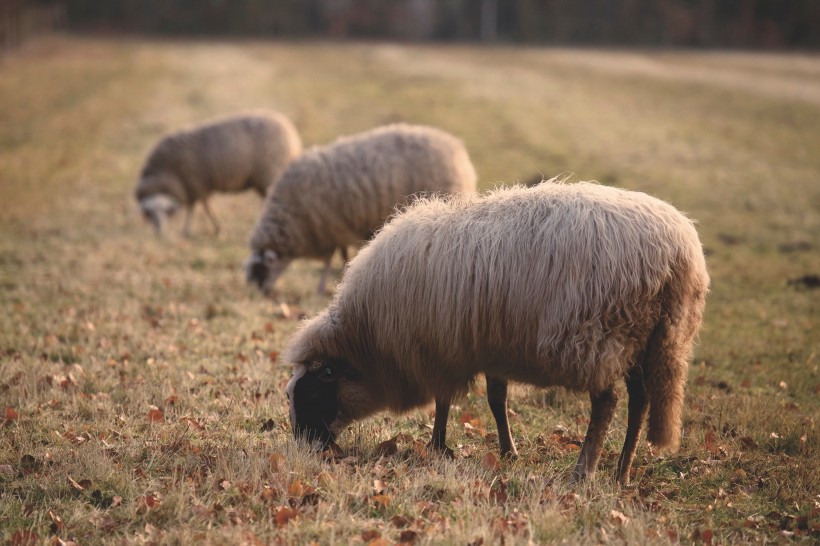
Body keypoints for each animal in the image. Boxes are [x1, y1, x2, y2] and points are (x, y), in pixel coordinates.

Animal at [135, 110, 302, 236]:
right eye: (149, 213)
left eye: (164, 212)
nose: (159, 233)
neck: (166, 171)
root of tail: (292, 134)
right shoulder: (197, 186)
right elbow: (202, 207)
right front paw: (211, 229)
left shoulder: (195, 184)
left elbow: (198, 208)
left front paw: (193, 230)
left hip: (271, 173)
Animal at [243, 122, 478, 294]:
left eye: (261, 269)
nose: (261, 293)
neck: (291, 216)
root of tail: (456, 147)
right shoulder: (335, 228)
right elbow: (340, 254)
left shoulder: (330, 227)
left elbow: (330, 259)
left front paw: (324, 286)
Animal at [286, 181, 708, 482]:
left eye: (315, 387)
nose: (304, 446)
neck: (370, 340)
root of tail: (678, 256)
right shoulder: (486, 347)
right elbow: (495, 400)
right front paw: (507, 452)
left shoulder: (441, 349)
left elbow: (444, 400)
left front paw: (438, 445)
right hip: (648, 341)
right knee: (640, 402)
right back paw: (622, 472)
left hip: (597, 337)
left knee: (607, 403)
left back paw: (583, 470)